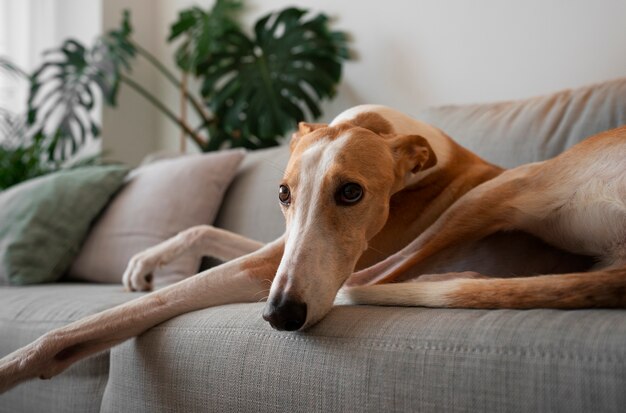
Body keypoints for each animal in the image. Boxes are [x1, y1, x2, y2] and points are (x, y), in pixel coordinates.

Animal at [1, 104, 624, 392]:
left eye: (351, 192)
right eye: (281, 193)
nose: (280, 315)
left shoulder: (272, 267)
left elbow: (133, 311)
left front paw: (21, 363)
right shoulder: (278, 245)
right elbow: (202, 232)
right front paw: (143, 264)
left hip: (501, 190)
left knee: (375, 279)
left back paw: (447, 281)